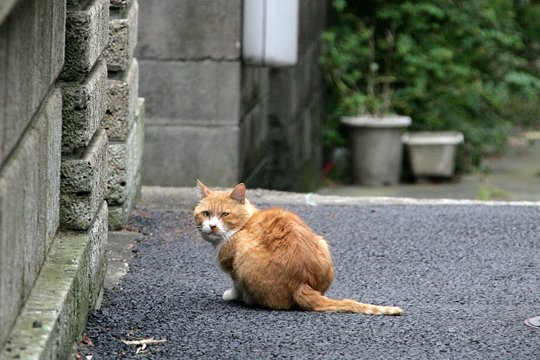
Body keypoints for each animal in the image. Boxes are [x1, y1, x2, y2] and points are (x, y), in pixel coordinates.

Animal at [193, 180, 400, 316]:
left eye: (225, 214)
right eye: (206, 214)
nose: (212, 226)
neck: (244, 224)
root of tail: (301, 284)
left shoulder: (233, 266)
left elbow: (235, 285)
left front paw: (232, 295)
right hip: (322, 242)